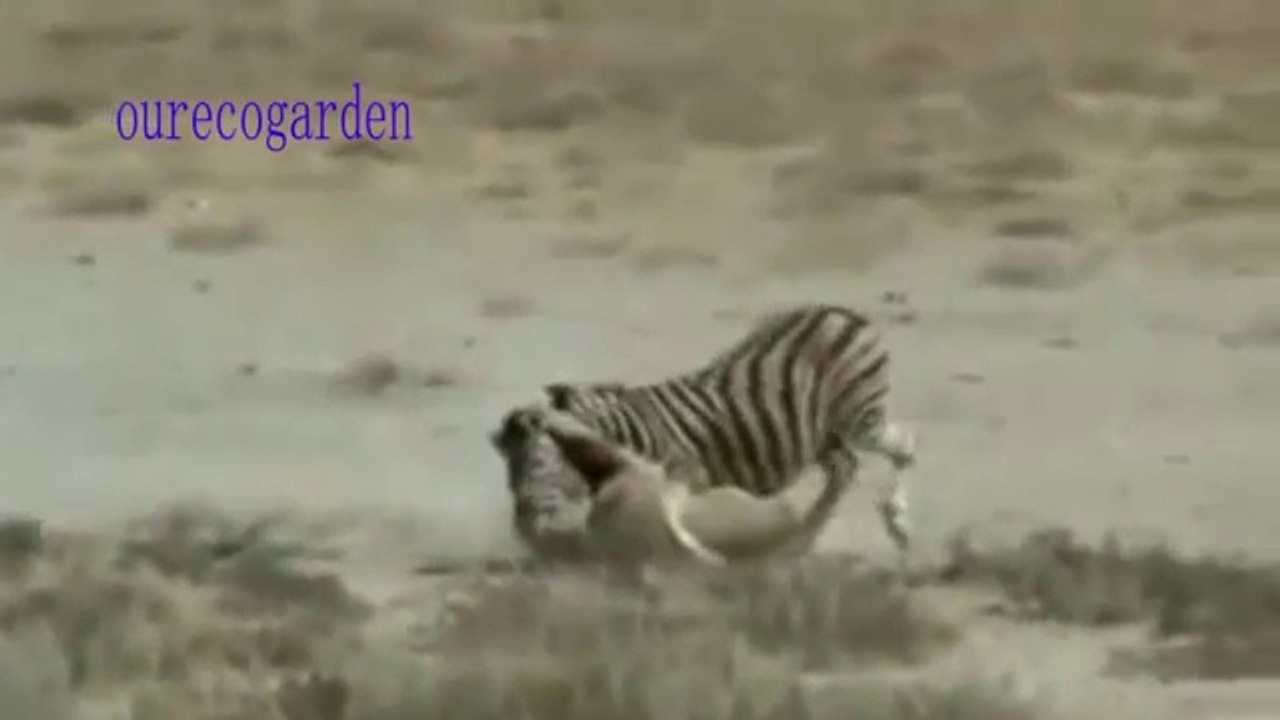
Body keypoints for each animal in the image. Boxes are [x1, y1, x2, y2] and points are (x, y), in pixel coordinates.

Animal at [493, 303, 917, 558]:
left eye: (535, 463)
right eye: (509, 468)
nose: (521, 530)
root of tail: (844, 313)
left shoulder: (682, 471)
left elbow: (669, 517)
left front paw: (699, 554)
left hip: (859, 416)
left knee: (903, 447)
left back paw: (895, 522)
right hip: (819, 434)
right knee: (846, 468)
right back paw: (799, 540)